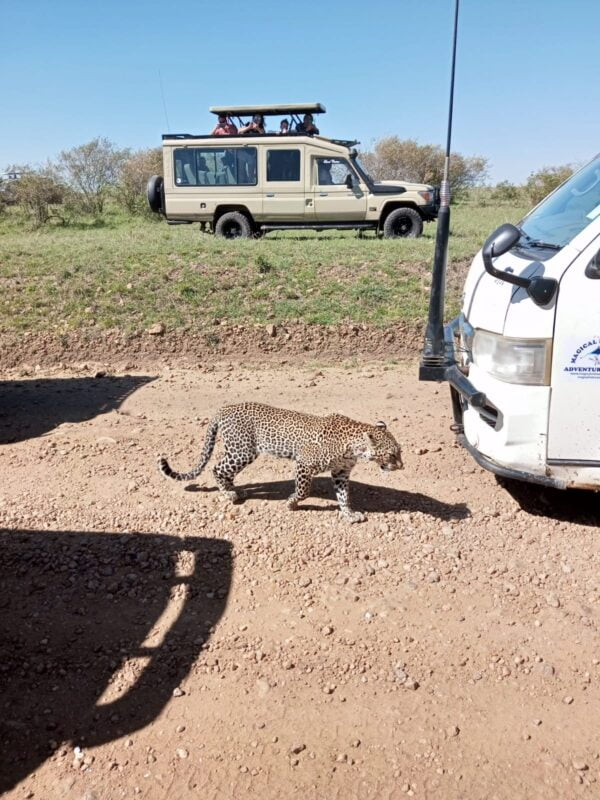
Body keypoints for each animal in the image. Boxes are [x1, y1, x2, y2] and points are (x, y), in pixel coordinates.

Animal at [159, 404, 404, 520]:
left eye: (399, 453)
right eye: (392, 455)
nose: (401, 466)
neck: (354, 448)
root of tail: (223, 409)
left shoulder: (341, 473)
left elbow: (344, 496)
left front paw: (349, 514)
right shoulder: (304, 463)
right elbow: (304, 490)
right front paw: (291, 503)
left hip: (240, 452)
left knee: (225, 471)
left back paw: (235, 490)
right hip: (243, 451)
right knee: (216, 468)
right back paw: (228, 494)